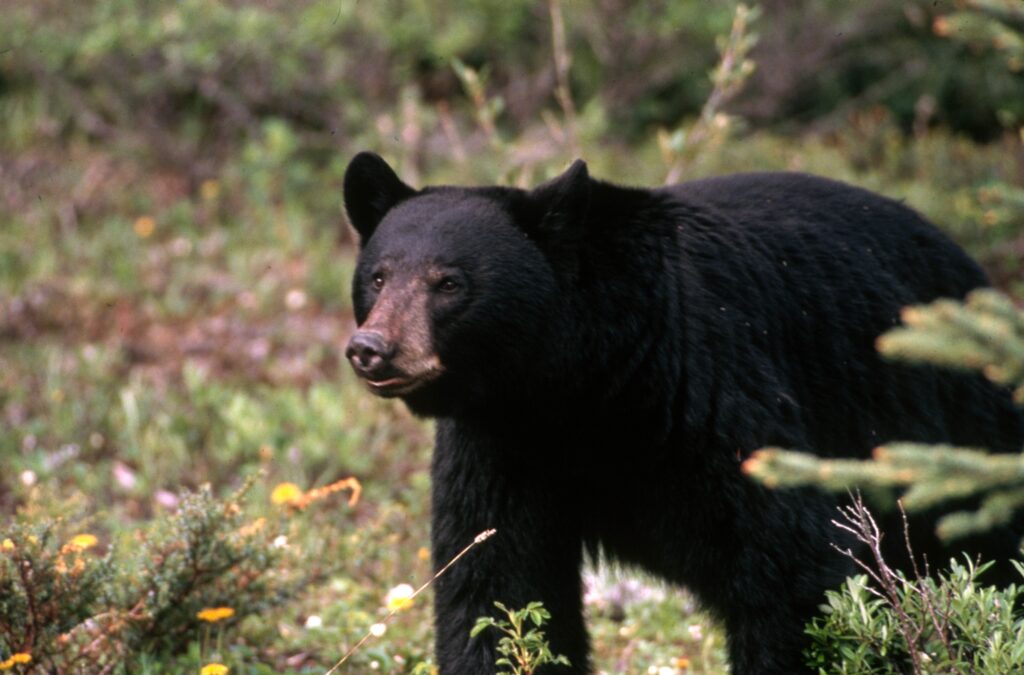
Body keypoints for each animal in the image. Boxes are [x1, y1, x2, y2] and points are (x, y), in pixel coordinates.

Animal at [341, 151, 1024, 674]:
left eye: (449, 282)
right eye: (377, 277)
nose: (371, 349)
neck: (580, 382)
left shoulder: (711, 393)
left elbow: (792, 571)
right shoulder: (500, 443)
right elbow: (496, 584)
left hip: (957, 427)